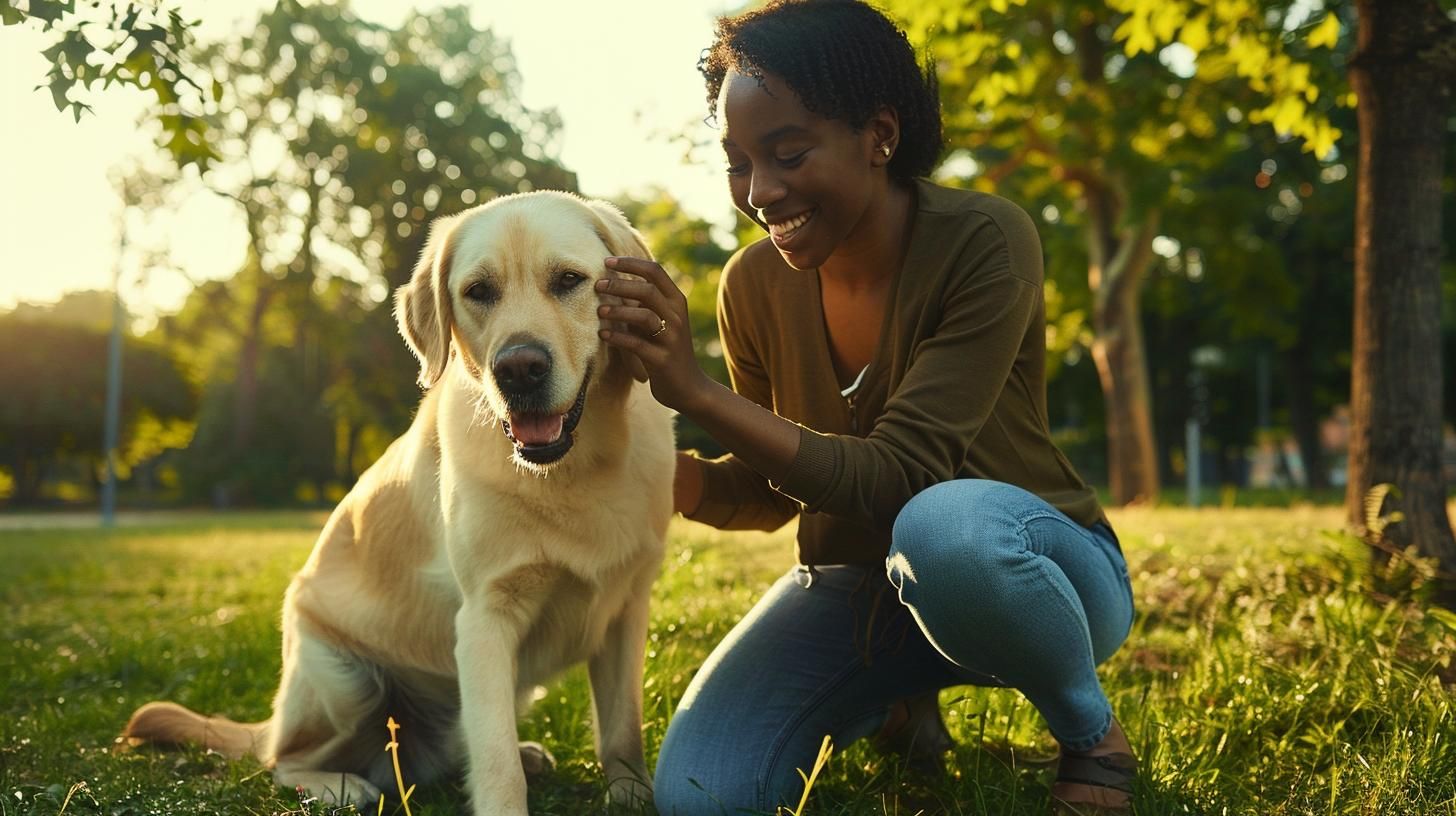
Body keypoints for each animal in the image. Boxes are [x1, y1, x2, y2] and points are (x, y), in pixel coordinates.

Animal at [120, 187, 675, 810]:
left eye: (569, 280)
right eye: (478, 291)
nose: (518, 369)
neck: (577, 468)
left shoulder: (626, 612)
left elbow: (621, 732)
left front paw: (633, 796)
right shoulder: (485, 618)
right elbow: (497, 765)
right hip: (344, 683)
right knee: (281, 761)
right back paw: (339, 784)